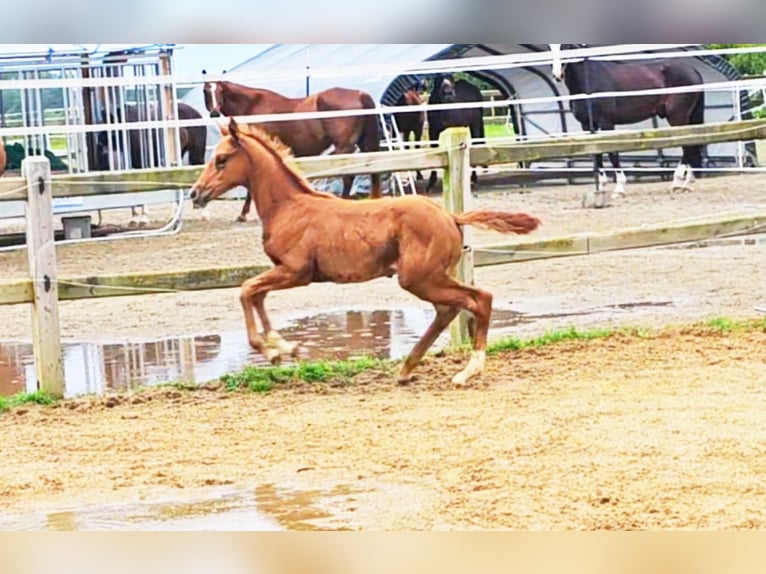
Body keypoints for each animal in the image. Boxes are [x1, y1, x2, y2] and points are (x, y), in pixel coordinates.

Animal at [189, 117, 544, 388]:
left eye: (222, 159)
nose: (195, 193)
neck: (288, 207)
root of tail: (450, 216)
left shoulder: (295, 272)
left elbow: (246, 289)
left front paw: (274, 349)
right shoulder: (284, 272)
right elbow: (256, 294)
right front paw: (282, 347)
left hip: (420, 278)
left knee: (478, 299)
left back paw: (467, 371)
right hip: (429, 278)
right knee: (449, 310)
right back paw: (406, 370)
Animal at [204, 76, 384, 220]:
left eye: (220, 91)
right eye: (206, 91)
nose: (214, 112)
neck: (253, 106)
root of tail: (360, 94)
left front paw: (243, 214)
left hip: (344, 147)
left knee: (347, 177)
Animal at [552, 43, 708, 205]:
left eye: (566, 46)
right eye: (551, 47)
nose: (557, 75)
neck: (588, 81)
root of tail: (693, 71)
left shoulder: (606, 123)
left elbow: (612, 153)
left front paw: (619, 190)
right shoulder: (588, 126)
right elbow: (597, 153)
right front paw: (601, 188)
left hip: (678, 117)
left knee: (687, 144)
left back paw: (677, 183)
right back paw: (686, 184)